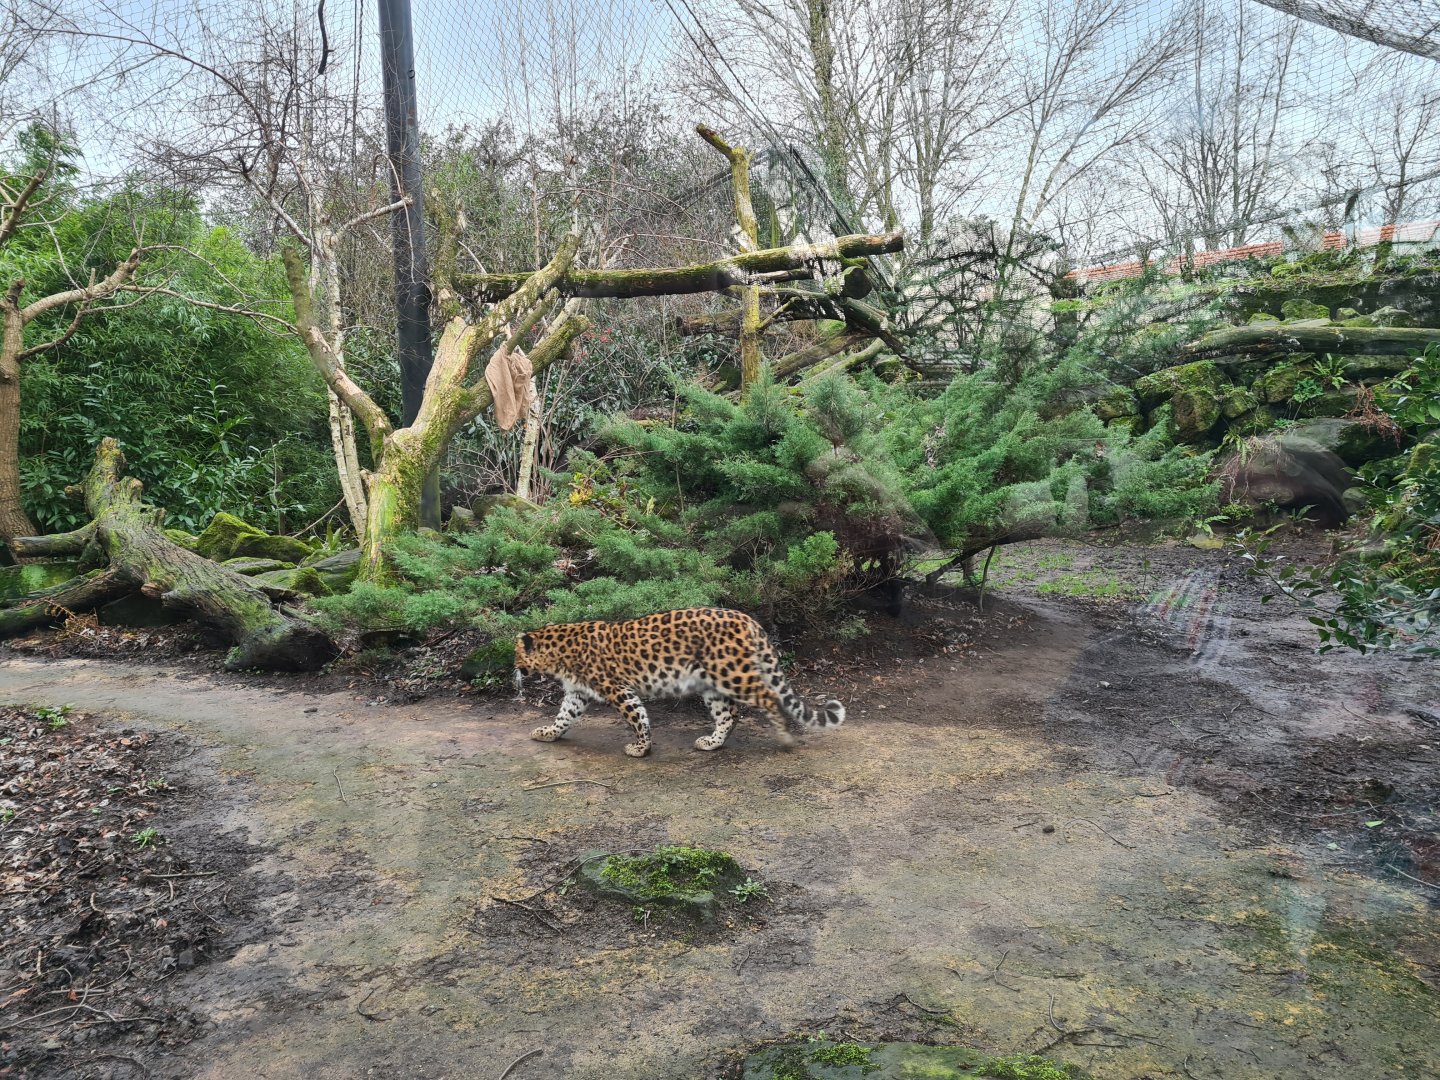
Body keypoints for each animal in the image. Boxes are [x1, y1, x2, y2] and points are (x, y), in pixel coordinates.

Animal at [513, 607, 845, 758]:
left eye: (515, 653)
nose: (513, 669)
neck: (557, 652)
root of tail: (747, 619)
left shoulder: (618, 690)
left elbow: (637, 718)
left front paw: (641, 748)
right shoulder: (577, 693)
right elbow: (564, 716)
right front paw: (548, 733)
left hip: (733, 673)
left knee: (767, 698)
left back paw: (785, 739)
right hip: (712, 683)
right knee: (729, 714)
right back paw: (712, 743)